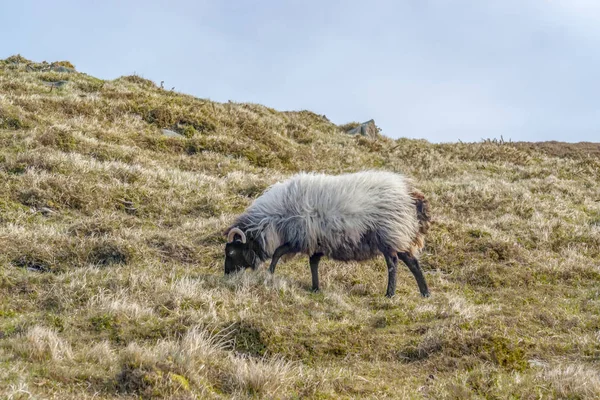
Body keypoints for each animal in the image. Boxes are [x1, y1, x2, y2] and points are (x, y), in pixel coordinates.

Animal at [225, 170, 432, 298]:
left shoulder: (300, 237)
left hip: (388, 234)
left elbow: (278, 253)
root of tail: (411, 195)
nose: (226, 274)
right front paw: (315, 288)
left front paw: (270, 273)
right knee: (412, 262)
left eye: (232, 252)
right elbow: (313, 262)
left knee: (393, 263)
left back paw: (390, 294)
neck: (275, 219)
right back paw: (425, 293)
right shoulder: (316, 241)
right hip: (399, 235)